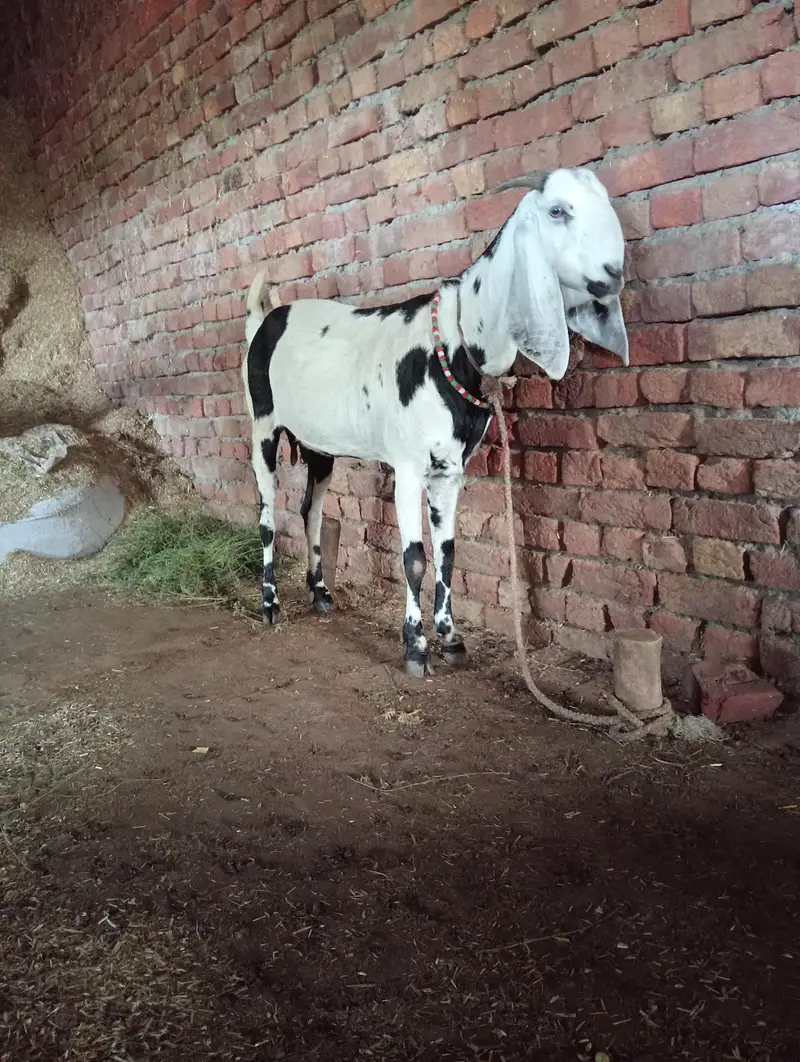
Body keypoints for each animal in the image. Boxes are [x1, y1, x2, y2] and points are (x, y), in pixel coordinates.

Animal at [242, 167, 629, 676]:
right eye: (557, 210)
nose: (614, 273)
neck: (454, 341)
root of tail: (264, 321)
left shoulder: (450, 471)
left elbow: (447, 555)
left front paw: (451, 638)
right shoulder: (408, 468)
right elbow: (415, 559)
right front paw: (416, 646)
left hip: (320, 445)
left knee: (311, 511)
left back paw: (321, 593)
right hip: (263, 426)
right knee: (268, 517)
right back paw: (269, 604)